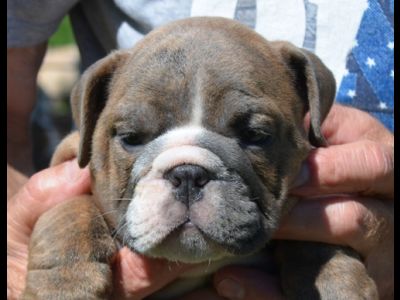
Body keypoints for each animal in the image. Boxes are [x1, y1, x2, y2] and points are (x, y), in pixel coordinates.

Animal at [22, 17, 378, 300]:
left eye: (255, 135)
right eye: (131, 138)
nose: (188, 174)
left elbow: (314, 238)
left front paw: (336, 279)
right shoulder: (66, 168)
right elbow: (68, 212)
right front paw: (63, 283)